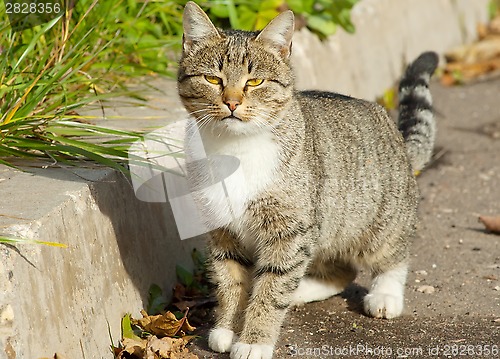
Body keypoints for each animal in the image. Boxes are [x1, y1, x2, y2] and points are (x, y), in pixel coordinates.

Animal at [176, 1, 438, 358]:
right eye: (212, 79)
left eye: (255, 81)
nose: (231, 102)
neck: (235, 149)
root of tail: (396, 136)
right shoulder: (222, 232)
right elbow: (231, 281)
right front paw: (227, 328)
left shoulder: (290, 231)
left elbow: (272, 288)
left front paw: (254, 340)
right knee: (340, 271)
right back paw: (301, 289)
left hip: (375, 220)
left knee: (390, 254)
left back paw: (385, 294)